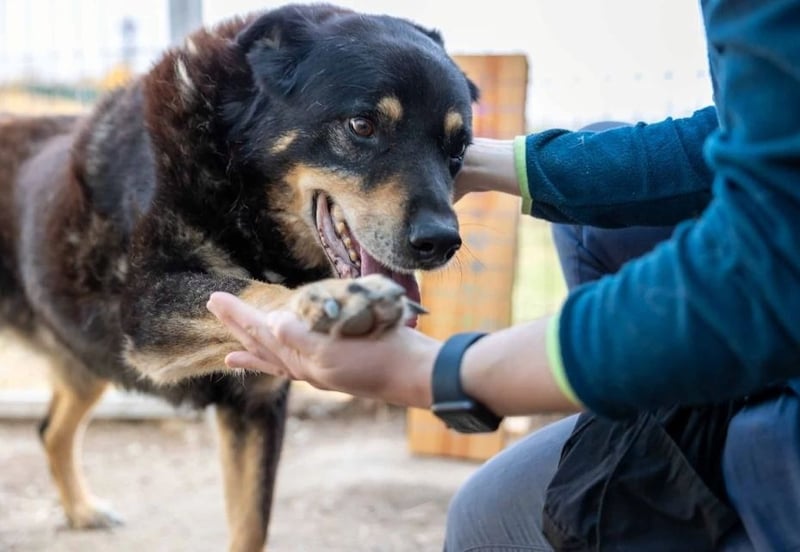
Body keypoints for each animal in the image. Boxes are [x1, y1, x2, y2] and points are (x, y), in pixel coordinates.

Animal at [0, 3, 477, 550]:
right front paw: (333, 297)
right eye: (362, 125)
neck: (232, 178)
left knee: (50, 430)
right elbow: (244, 287)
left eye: (459, 147)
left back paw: (81, 510)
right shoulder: (144, 313)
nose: (441, 242)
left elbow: (251, 526)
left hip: (85, 363)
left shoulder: (256, 406)